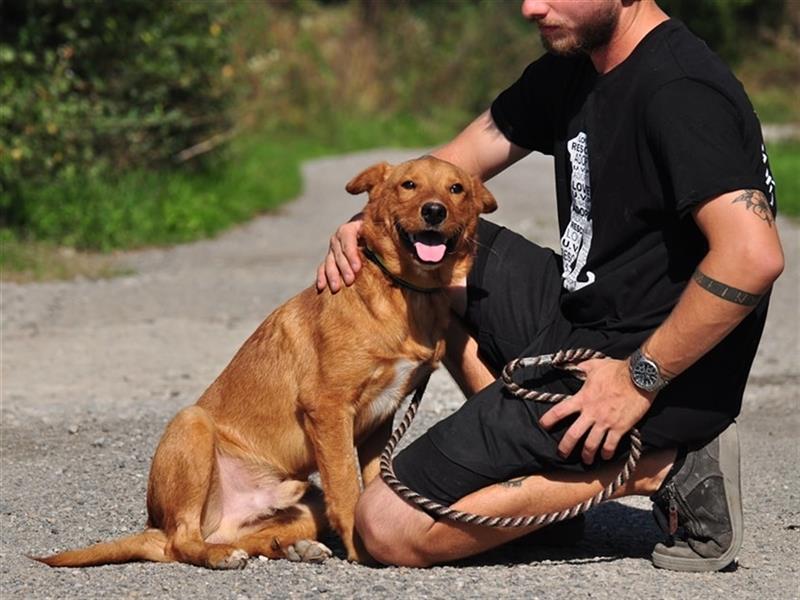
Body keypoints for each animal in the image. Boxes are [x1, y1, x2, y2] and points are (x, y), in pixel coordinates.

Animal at [34, 155, 496, 568]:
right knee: (181, 542)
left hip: (305, 496)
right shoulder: (328, 409)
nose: (434, 211)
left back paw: (292, 547)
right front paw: (361, 551)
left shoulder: (379, 420)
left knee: (246, 535)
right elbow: (349, 490)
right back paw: (219, 555)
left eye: (456, 189)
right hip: (192, 426)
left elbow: (369, 485)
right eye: (409, 185)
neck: (404, 292)